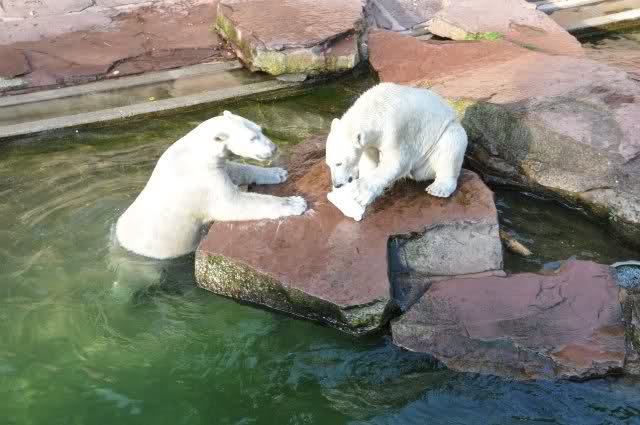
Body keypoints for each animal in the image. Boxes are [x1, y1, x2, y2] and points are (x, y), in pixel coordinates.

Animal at [115, 110, 307, 260]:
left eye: (260, 129)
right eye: (252, 138)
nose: (273, 148)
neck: (196, 153)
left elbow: (236, 170)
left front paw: (278, 172)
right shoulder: (202, 180)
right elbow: (232, 203)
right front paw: (296, 203)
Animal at [325, 82, 468, 210]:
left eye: (339, 163)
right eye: (328, 164)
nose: (337, 184)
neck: (376, 109)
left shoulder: (396, 130)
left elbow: (397, 162)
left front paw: (360, 193)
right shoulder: (371, 141)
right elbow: (370, 158)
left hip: (440, 138)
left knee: (451, 145)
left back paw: (439, 188)